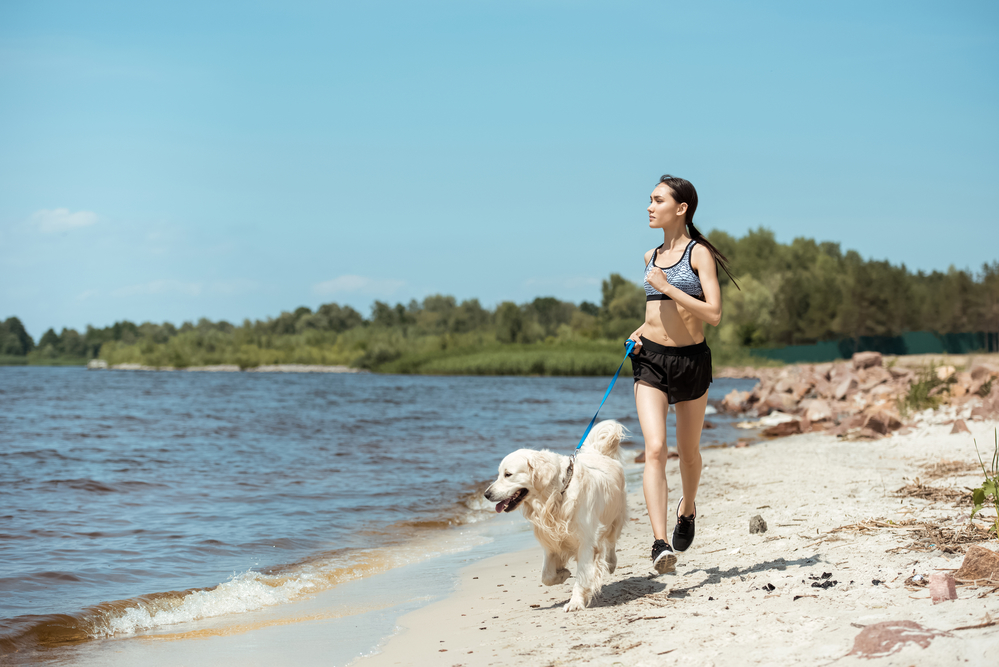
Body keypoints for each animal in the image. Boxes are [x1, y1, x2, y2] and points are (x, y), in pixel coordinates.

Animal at [482, 420, 624, 612]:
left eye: (508, 474)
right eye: (499, 474)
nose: (486, 494)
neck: (556, 496)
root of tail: (598, 452)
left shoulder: (587, 541)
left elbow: (582, 575)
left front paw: (575, 602)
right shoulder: (551, 542)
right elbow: (546, 576)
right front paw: (563, 573)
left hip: (616, 515)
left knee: (611, 541)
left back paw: (611, 562)